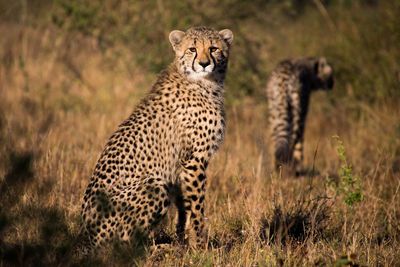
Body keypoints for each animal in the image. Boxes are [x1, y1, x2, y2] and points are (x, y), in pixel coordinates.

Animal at [76, 26, 233, 254]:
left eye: (213, 48)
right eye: (192, 49)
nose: (204, 63)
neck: (203, 82)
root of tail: (87, 235)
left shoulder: (180, 166)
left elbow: (184, 207)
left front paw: (184, 240)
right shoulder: (195, 160)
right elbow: (196, 207)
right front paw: (200, 245)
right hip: (155, 184)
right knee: (122, 245)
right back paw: (159, 248)